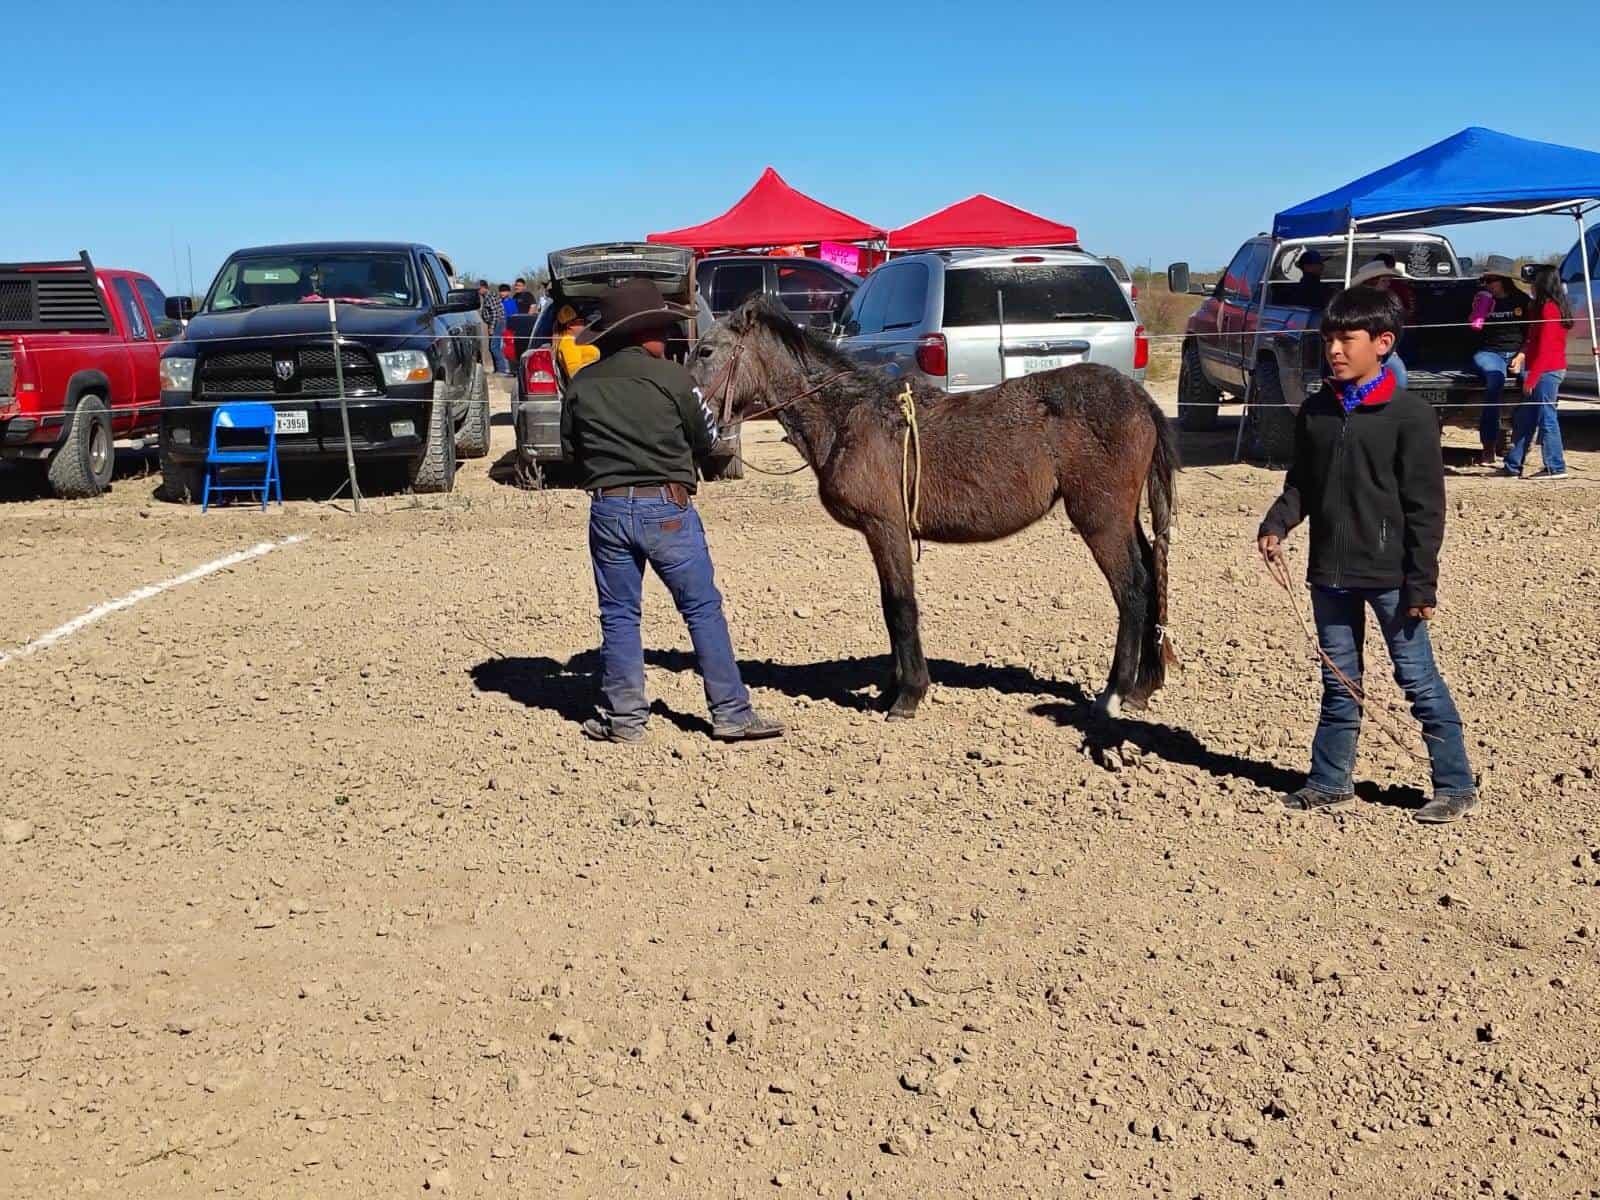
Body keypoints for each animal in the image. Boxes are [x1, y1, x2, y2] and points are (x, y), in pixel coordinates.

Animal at [688, 300, 1177, 723]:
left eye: (706, 350)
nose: (686, 403)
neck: (848, 416)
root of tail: (1139, 399)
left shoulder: (886, 526)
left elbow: (900, 606)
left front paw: (908, 695)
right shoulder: (881, 533)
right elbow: (890, 605)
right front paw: (891, 689)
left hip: (1101, 519)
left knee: (1132, 590)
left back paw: (1114, 693)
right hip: (1123, 519)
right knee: (1152, 576)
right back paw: (1141, 688)